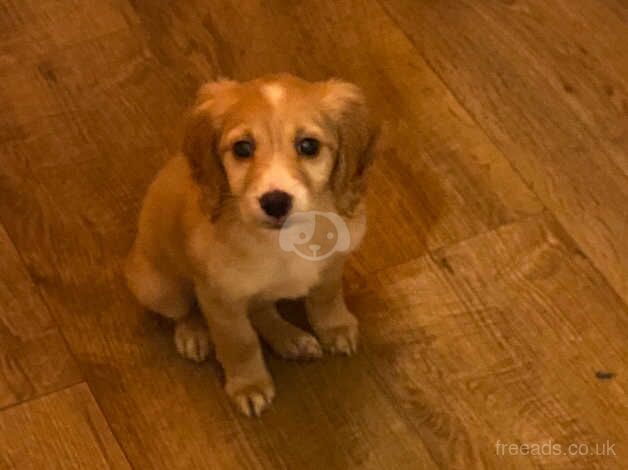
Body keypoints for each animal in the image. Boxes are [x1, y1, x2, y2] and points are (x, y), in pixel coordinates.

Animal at [125, 73, 376, 414]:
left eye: (308, 146)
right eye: (242, 148)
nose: (275, 202)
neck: (283, 240)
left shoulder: (332, 263)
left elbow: (326, 296)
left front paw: (335, 327)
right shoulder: (220, 298)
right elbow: (240, 342)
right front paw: (249, 385)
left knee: (260, 309)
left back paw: (290, 338)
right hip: (158, 288)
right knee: (184, 311)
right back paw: (194, 333)